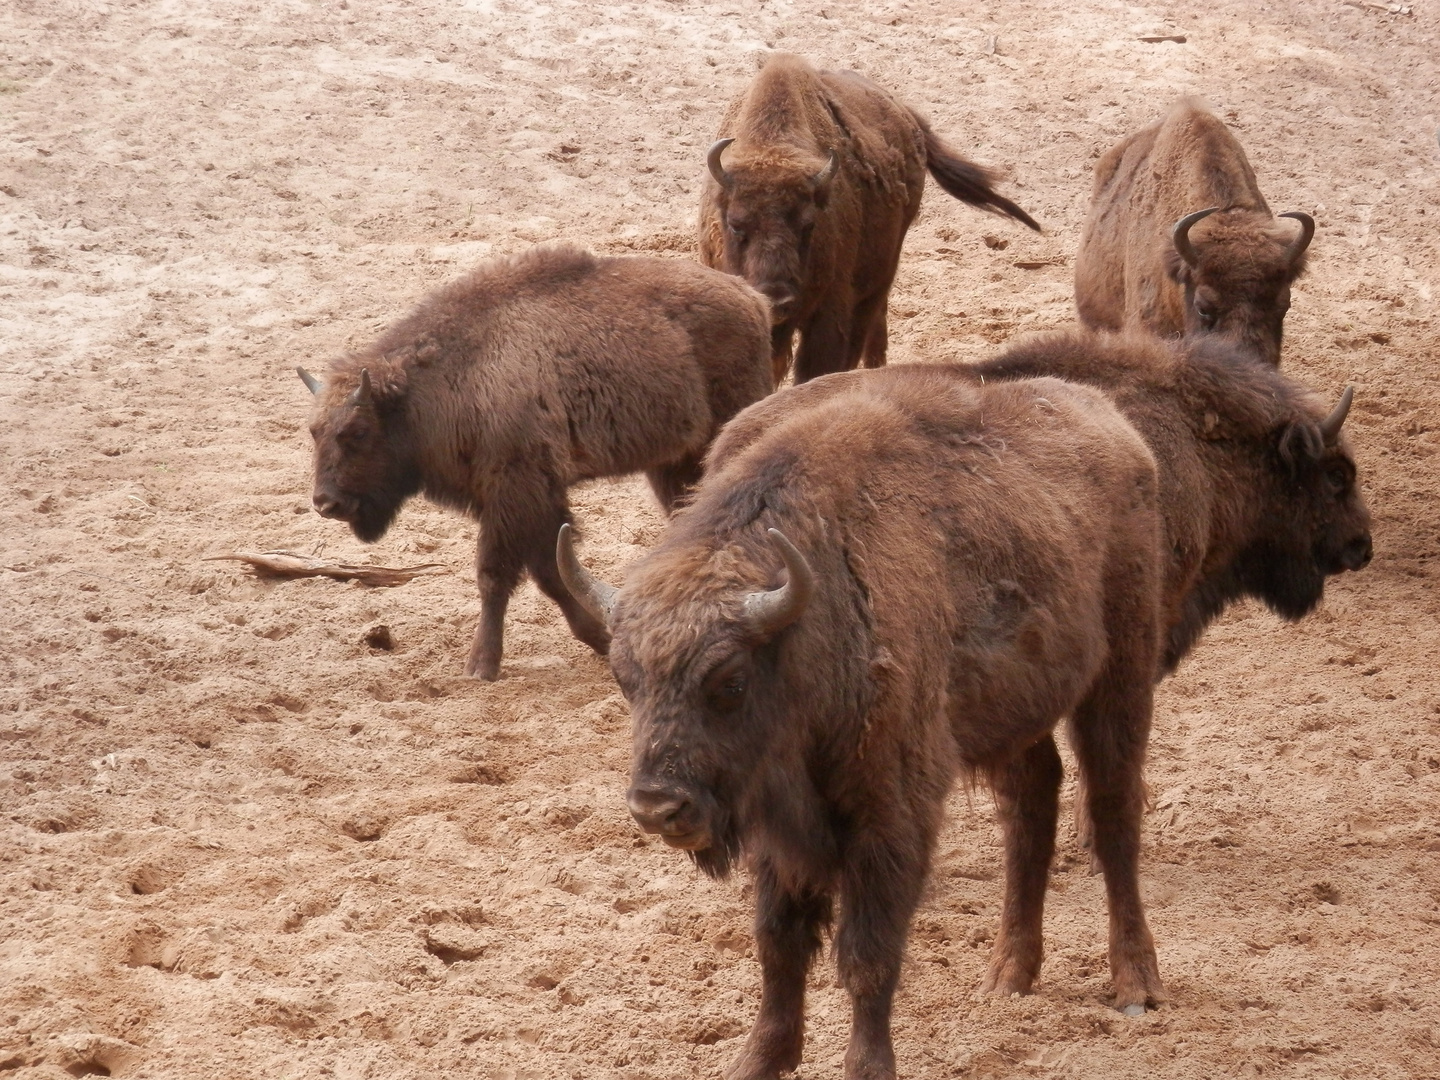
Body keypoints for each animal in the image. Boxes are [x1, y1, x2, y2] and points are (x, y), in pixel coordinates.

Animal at [298, 249, 777, 679]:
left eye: (358, 432)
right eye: (314, 431)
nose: (326, 503)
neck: (438, 385)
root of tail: (750, 297)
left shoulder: (515, 492)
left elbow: (496, 575)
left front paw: (481, 667)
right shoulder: (525, 501)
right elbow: (552, 572)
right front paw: (599, 637)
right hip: (671, 461)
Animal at [555, 365, 1163, 1080]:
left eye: (730, 681)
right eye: (625, 679)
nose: (657, 807)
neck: (809, 622)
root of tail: (1110, 419)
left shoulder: (888, 814)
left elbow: (867, 955)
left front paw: (868, 1065)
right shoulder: (780, 828)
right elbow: (779, 944)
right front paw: (761, 1058)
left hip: (1119, 678)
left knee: (1114, 813)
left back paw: (1136, 985)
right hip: (1016, 717)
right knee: (1031, 805)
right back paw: (1008, 976)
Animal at [696, 54, 1036, 388]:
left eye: (809, 225)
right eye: (736, 224)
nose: (777, 300)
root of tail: (907, 116)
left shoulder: (829, 313)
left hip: (880, 278)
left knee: (871, 326)